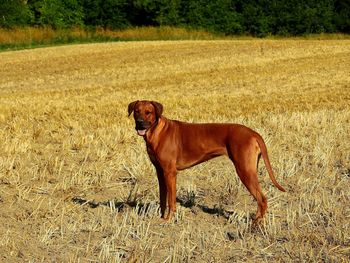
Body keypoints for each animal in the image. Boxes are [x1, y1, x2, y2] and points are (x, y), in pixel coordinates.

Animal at [127, 100, 286, 223]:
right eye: (136, 111)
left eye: (148, 112)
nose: (140, 123)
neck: (156, 132)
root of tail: (253, 133)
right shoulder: (160, 172)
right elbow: (162, 197)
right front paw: (161, 217)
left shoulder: (170, 172)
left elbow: (171, 200)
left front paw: (168, 220)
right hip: (250, 169)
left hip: (244, 170)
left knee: (262, 199)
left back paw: (256, 224)